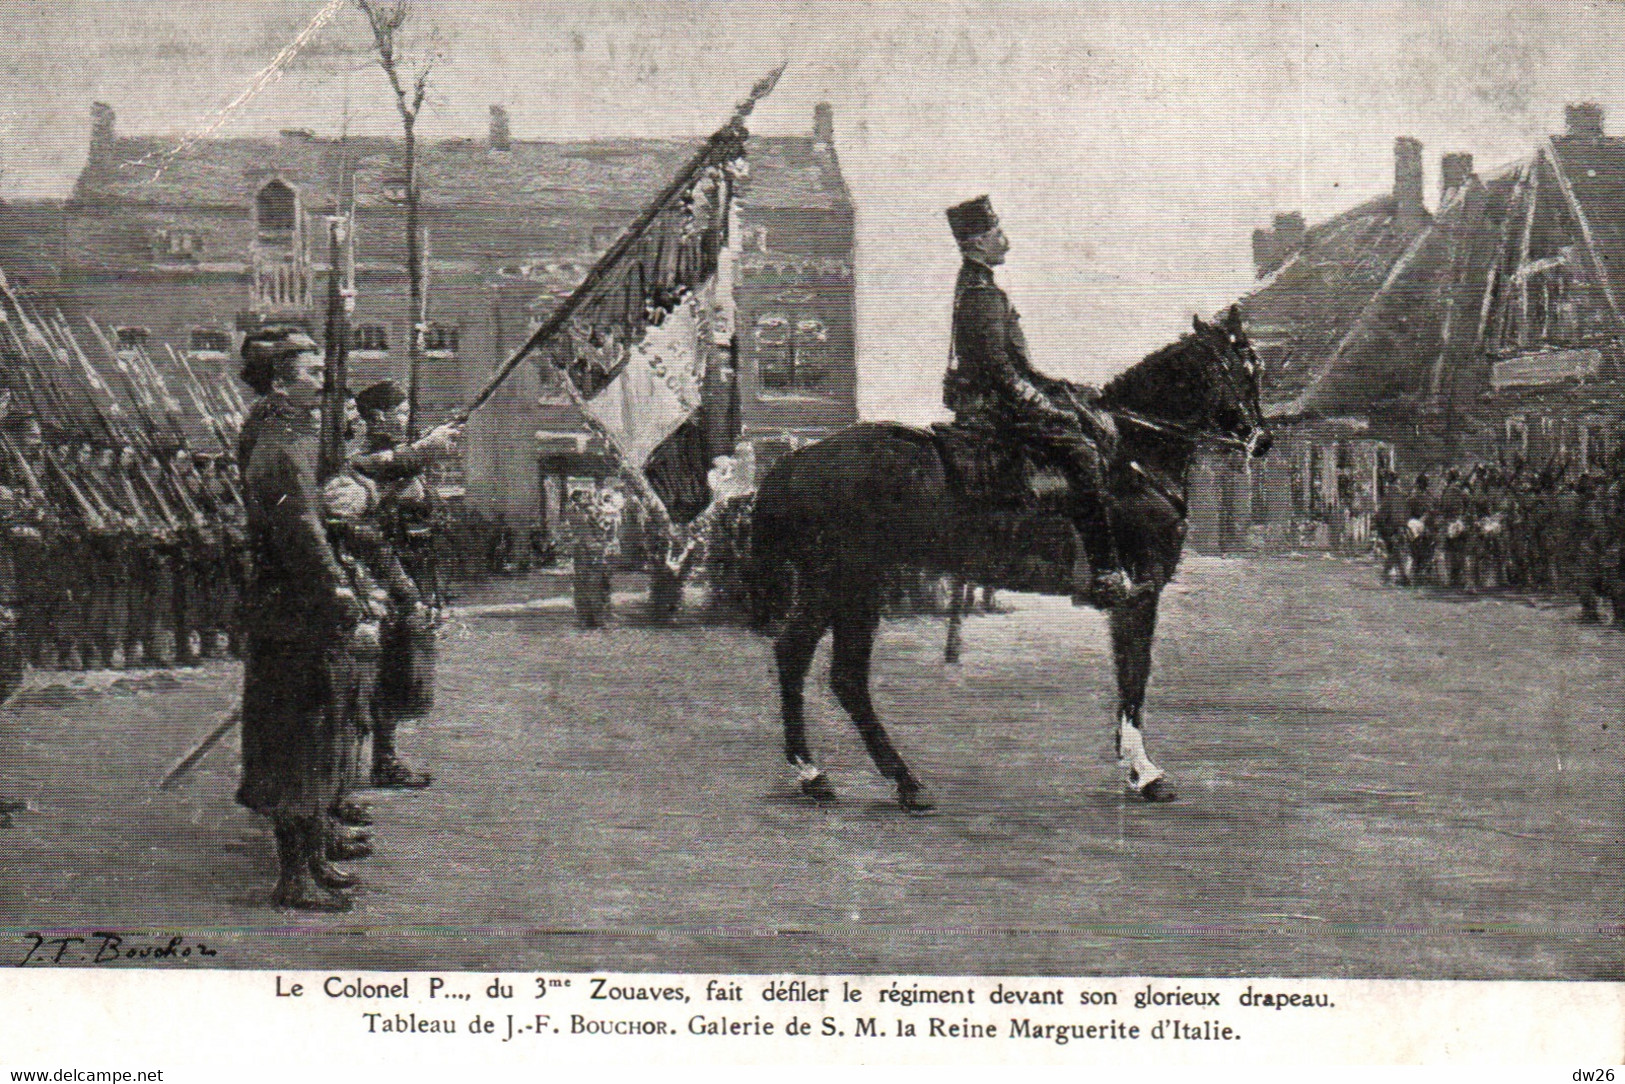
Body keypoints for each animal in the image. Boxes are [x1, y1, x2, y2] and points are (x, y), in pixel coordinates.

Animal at [744, 308, 1267, 809]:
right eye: (1229, 368)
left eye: (1254, 367)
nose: (1262, 439)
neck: (1135, 458)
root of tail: (793, 464)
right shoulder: (1140, 593)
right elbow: (1134, 680)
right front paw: (1147, 773)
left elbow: (1128, 681)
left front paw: (1133, 769)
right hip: (851, 585)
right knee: (836, 672)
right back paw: (895, 782)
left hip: (844, 589)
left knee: (804, 660)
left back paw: (822, 777)